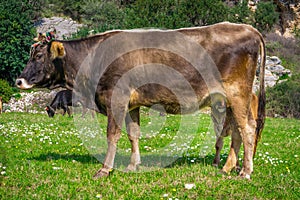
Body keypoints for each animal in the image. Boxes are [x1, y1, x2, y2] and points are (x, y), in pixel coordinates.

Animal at [15, 22, 264, 180]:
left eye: (39, 56)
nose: (19, 80)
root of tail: (246, 27)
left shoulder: (115, 97)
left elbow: (112, 135)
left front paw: (105, 170)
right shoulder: (131, 103)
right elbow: (133, 133)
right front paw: (133, 165)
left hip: (238, 93)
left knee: (247, 128)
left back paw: (245, 172)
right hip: (227, 100)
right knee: (235, 131)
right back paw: (228, 168)